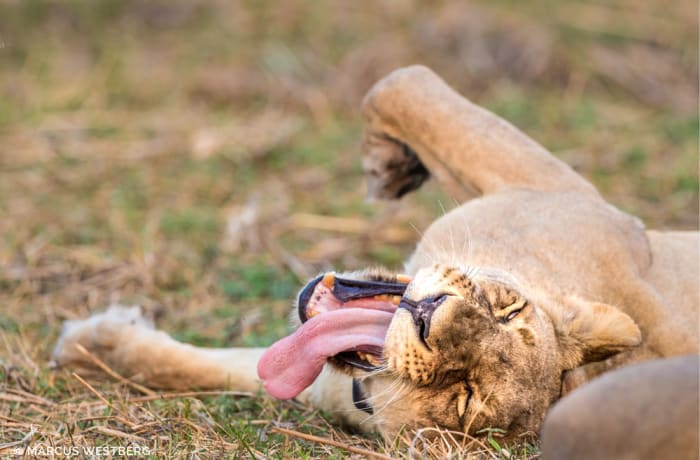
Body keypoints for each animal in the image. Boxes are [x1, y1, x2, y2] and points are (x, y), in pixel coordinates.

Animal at [52, 66, 696, 452]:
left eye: (464, 397)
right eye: (507, 311)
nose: (430, 315)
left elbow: (397, 84)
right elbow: (400, 85)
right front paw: (98, 347)